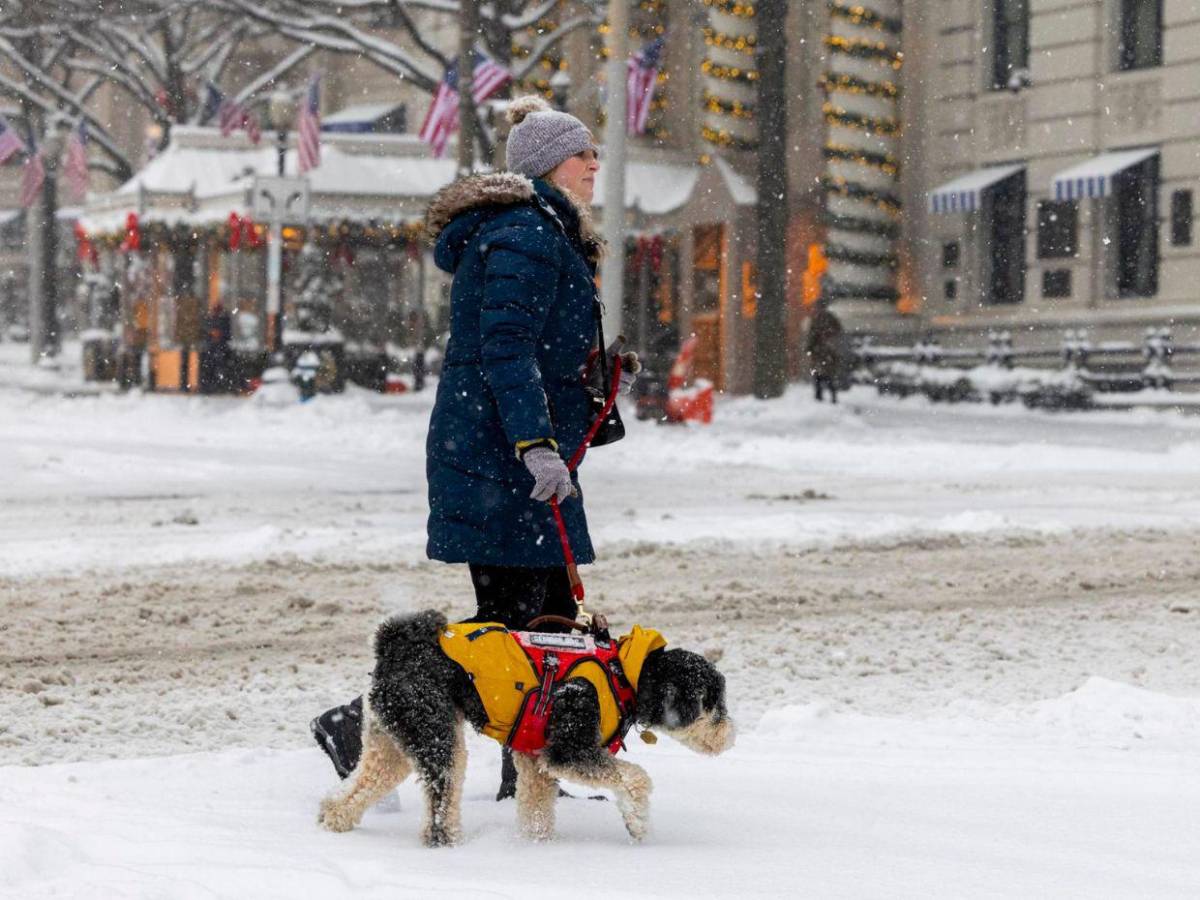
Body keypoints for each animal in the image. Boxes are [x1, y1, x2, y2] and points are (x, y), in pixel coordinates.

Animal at [316, 609, 729, 849]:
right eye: (711, 702)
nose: (730, 736)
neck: (624, 674)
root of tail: (394, 647)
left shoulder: (536, 761)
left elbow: (536, 811)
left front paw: (534, 849)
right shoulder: (568, 750)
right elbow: (637, 778)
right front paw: (638, 825)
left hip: (393, 743)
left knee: (356, 789)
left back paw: (333, 822)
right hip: (438, 741)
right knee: (438, 810)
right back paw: (449, 846)